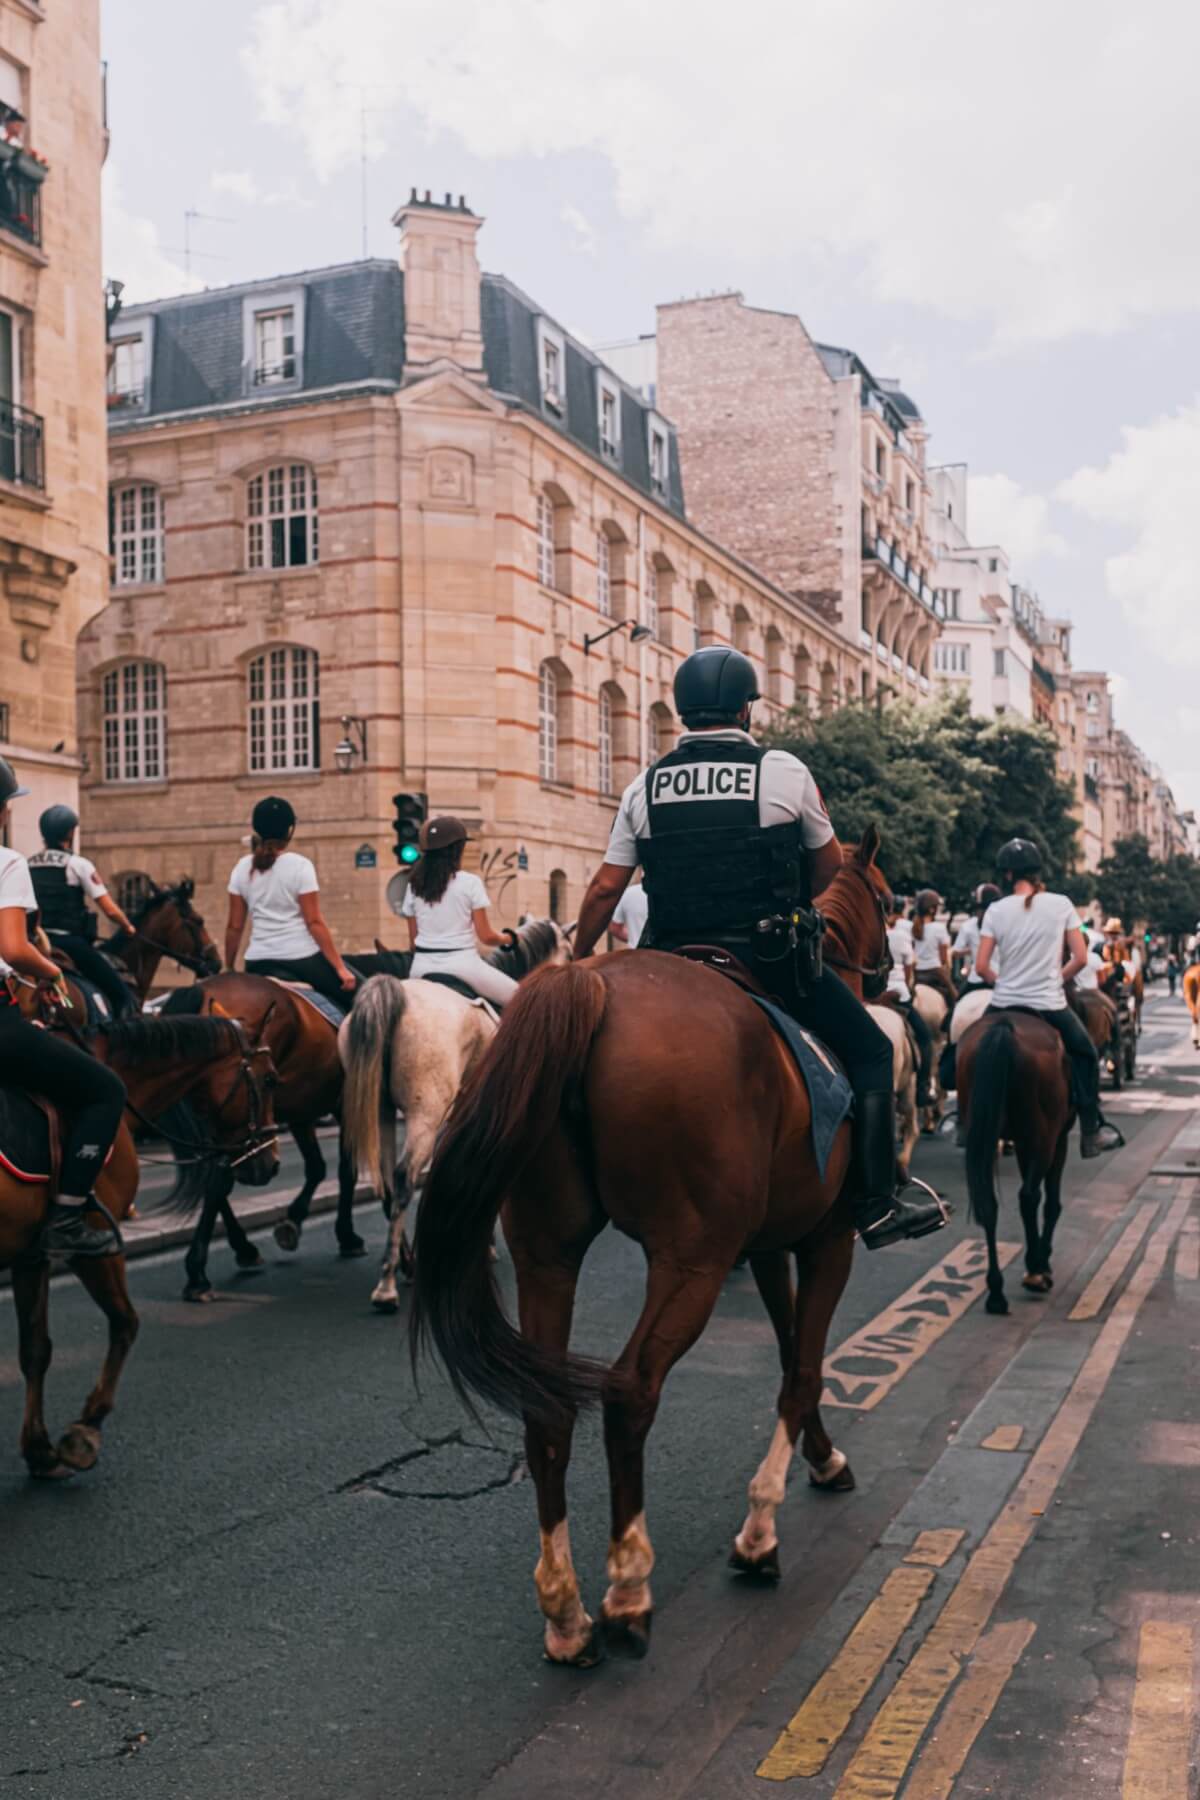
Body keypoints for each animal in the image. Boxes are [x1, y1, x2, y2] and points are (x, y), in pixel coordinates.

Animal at [1, 1000, 277, 1476]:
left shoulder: (31, 1255)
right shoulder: (95, 1246)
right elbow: (126, 1323)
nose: (272, 1161)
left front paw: (38, 1449)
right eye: (268, 1078)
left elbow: (35, 1348)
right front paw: (84, 1430)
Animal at [413, 835, 892, 1663]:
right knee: (629, 1391)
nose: (894, 969)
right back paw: (627, 1589)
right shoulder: (826, 1239)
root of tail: (589, 987)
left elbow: (789, 1352)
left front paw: (823, 1457)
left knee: (548, 1409)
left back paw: (566, 1613)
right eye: (893, 903)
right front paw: (761, 1530)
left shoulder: (769, 1246)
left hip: (547, 1253)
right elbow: (803, 1366)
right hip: (690, 1259)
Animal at [964, 1008, 1072, 1317]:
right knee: (1028, 1196)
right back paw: (1036, 1271)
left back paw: (996, 1292)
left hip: (984, 1135)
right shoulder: (1058, 1140)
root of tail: (1004, 1026)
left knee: (989, 1204)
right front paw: (1042, 1260)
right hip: (1044, 1136)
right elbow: (1051, 1204)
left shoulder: (1024, 1145)